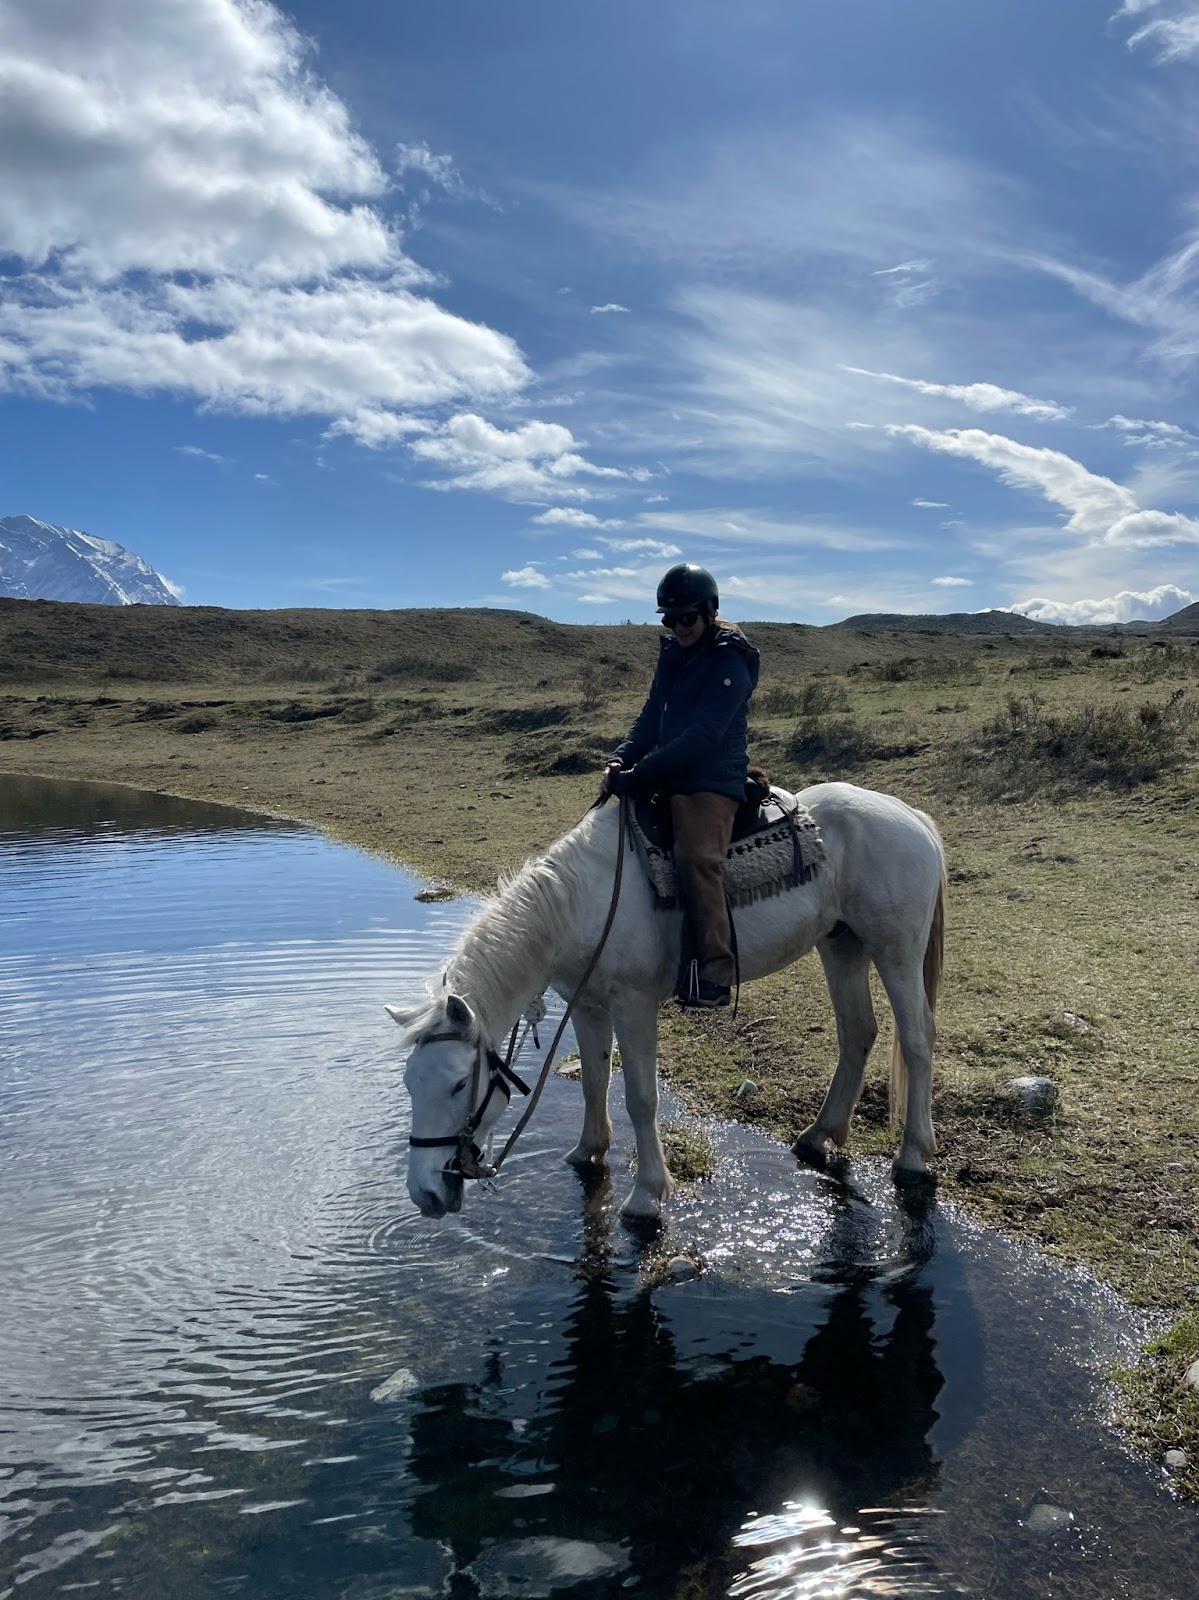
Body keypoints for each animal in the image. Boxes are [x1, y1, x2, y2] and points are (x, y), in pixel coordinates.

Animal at [390, 780, 947, 1216]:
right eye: (411, 1083)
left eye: (459, 1084)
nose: (425, 1195)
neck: (580, 905)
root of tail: (912, 817)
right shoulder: (587, 1005)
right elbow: (594, 1080)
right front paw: (587, 1151)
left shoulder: (633, 1005)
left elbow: (641, 1097)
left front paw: (646, 1196)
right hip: (841, 943)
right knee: (858, 1031)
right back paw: (819, 1134)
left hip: (895, 948)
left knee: (917, 1039)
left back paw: (913, 1157)